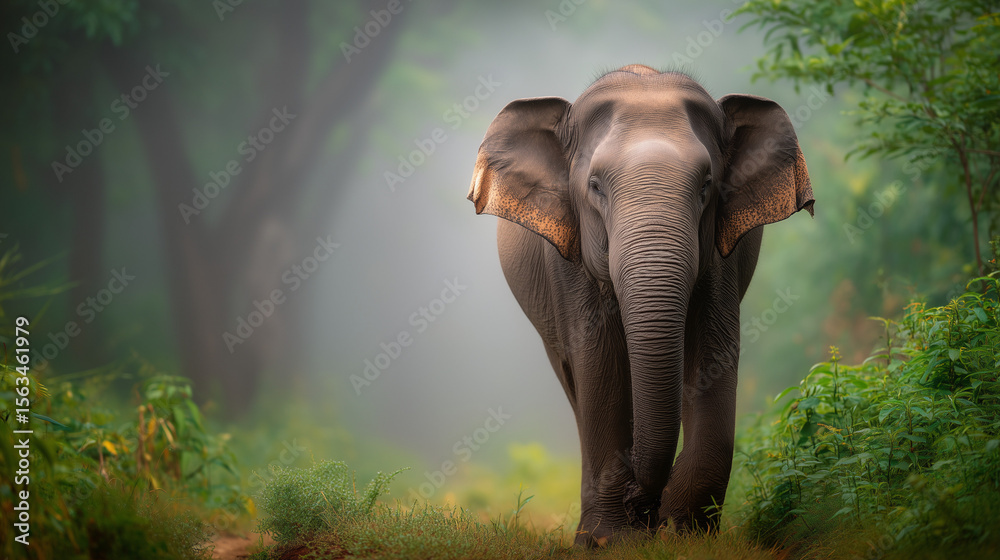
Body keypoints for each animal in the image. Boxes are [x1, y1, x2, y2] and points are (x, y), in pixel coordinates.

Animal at [466, 65, 814, 546]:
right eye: (595, 186)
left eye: (706, 186)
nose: (642, 502)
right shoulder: (568, 263)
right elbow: (600, 363)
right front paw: (611, 540)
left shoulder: (719, 258)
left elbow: (712, 355)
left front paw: (686, 534)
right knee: (575, 383)